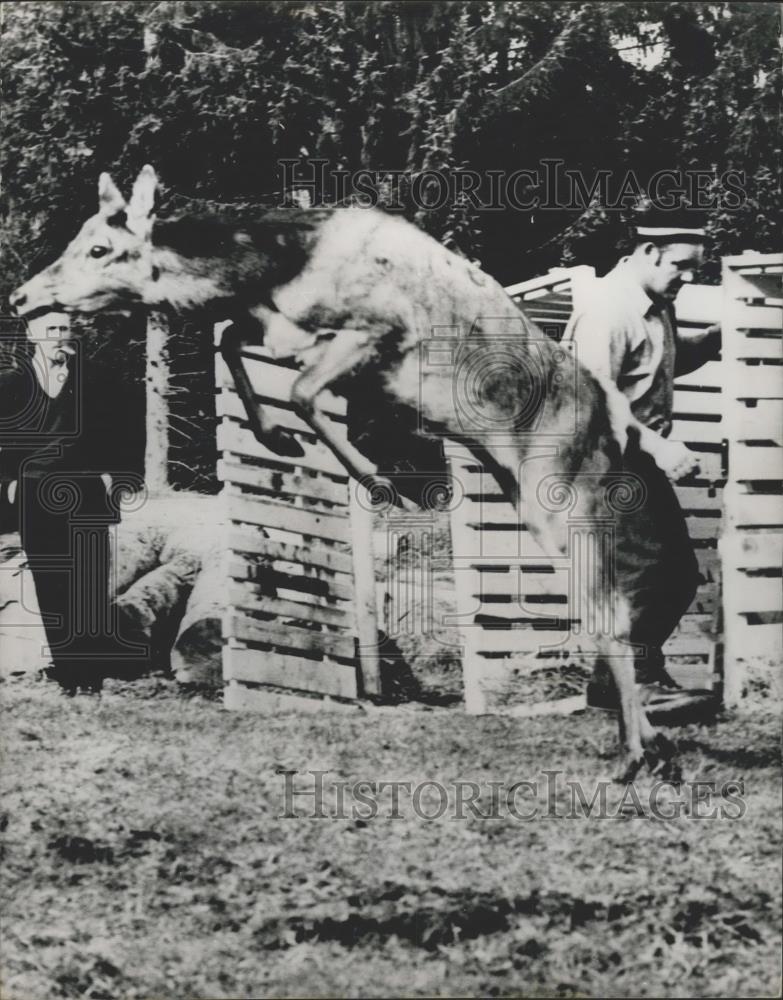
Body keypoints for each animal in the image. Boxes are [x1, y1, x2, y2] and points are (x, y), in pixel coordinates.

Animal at [9, 164, 680, 780]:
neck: (269, 271)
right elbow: (233, 345)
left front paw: (374, 478)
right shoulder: (280, 331)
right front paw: (275, 434)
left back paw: (634, 753)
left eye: (100, 247)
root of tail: (611, 420)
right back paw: (650, 743)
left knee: (611, 611)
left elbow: (302, 391)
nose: (20, 295)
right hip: (532, 495)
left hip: (559, 492)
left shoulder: (375, 333)